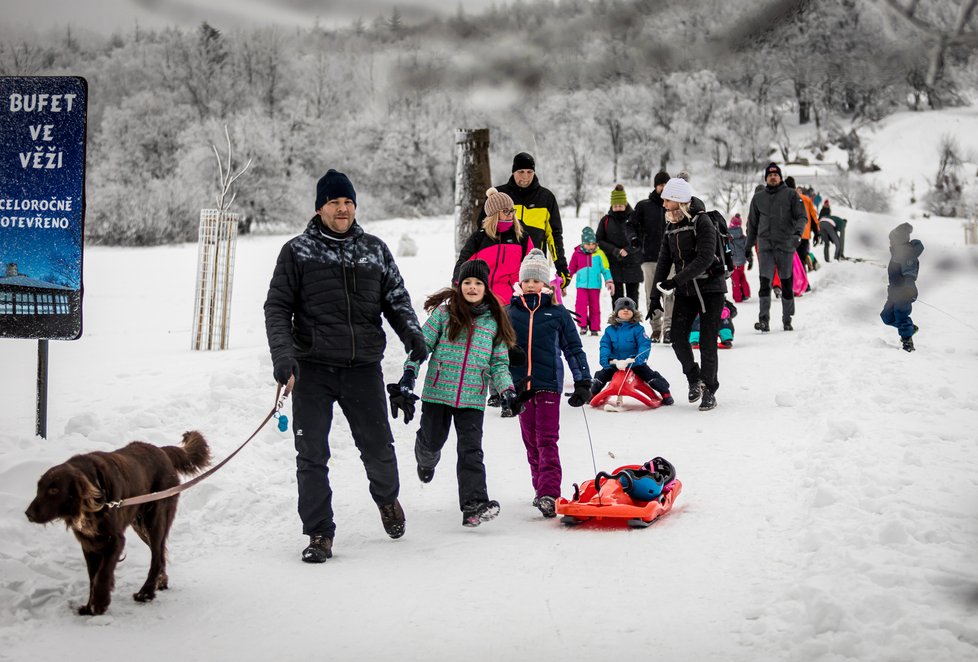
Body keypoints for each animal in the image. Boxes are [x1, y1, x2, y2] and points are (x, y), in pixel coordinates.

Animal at [24, 434, 210, 616]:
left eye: (54, 490)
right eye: (39, 488)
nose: (28, 513)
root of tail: (161, 450)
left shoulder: (114, 539)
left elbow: (102, 573)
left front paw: (99, 603)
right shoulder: (89, 543)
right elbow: (93, 576)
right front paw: (89, 606)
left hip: (155, 519)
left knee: (157, 555)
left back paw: (146, 592)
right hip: (140, 524)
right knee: (160, 552)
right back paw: (160, 582)